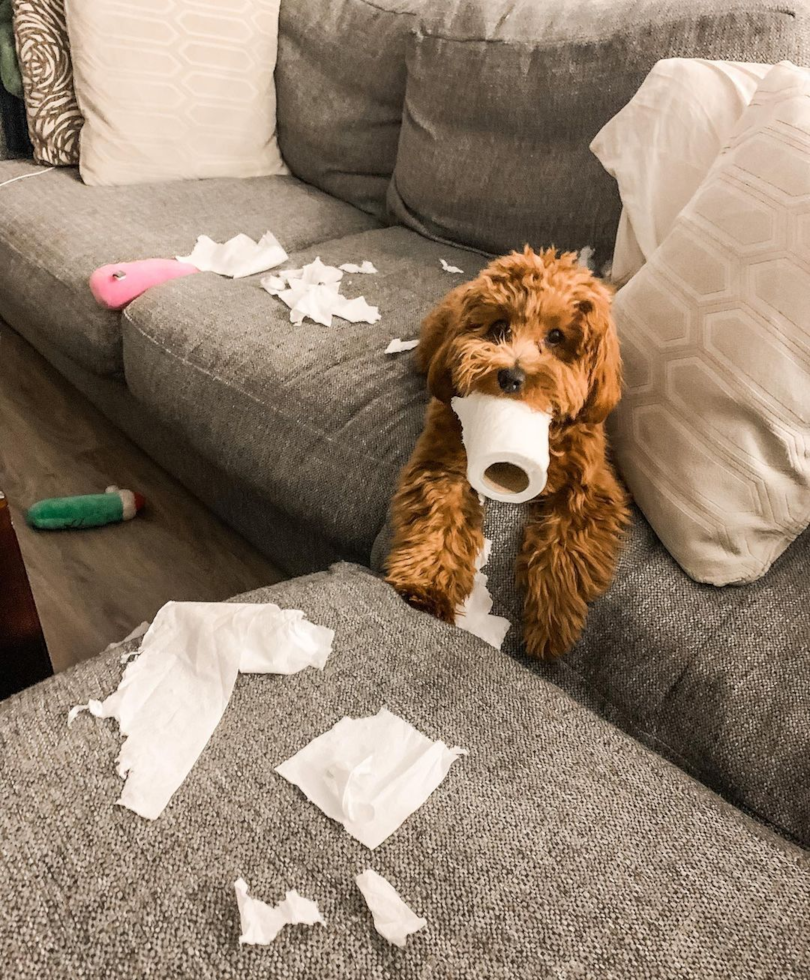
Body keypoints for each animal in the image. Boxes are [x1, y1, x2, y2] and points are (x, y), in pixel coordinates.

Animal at [382, 245, 628, 660]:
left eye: (556, 336)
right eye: (498, 327)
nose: (511, 377)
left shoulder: (590, 488)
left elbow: (567, 547)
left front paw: (552, 619)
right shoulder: (443, 461)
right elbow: (438, 518)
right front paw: (426, 585)